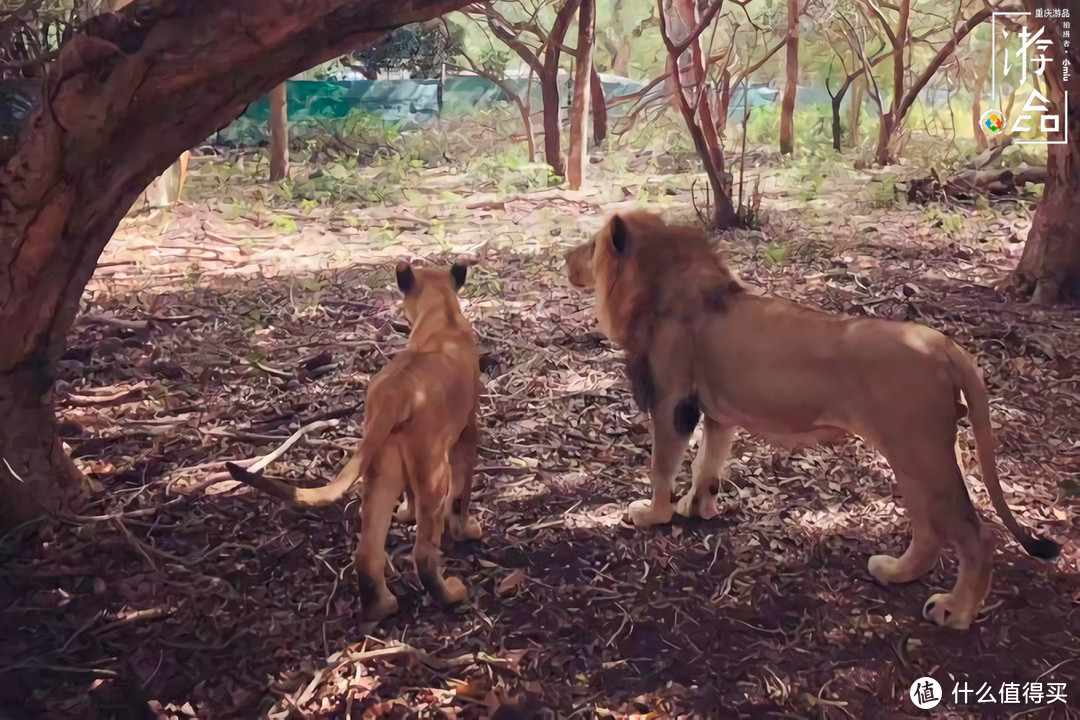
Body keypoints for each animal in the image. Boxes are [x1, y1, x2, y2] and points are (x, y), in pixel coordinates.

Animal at [226, 262, 481, 621]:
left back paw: (381, 607)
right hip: (433, 469)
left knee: (366, 551)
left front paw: (406, 514)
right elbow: (462, 493)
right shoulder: (466, 431)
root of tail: (394, 394)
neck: (441, 316)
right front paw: (466, 530)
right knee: (423, 553)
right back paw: (451, 595)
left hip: (381, 467)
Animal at [570, 211, 1058, 626]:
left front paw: (652, 515)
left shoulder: (673, 404)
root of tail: (942, 345)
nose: (563, 259)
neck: (659, 286)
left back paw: (955, 611)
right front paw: (698, 507)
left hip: (922, 455)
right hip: (918, 457)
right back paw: (895, 572)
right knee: (930, 531)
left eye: (590, 246)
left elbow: (662, 469)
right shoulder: (718, 413)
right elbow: (707, 465)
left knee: (977, 535)